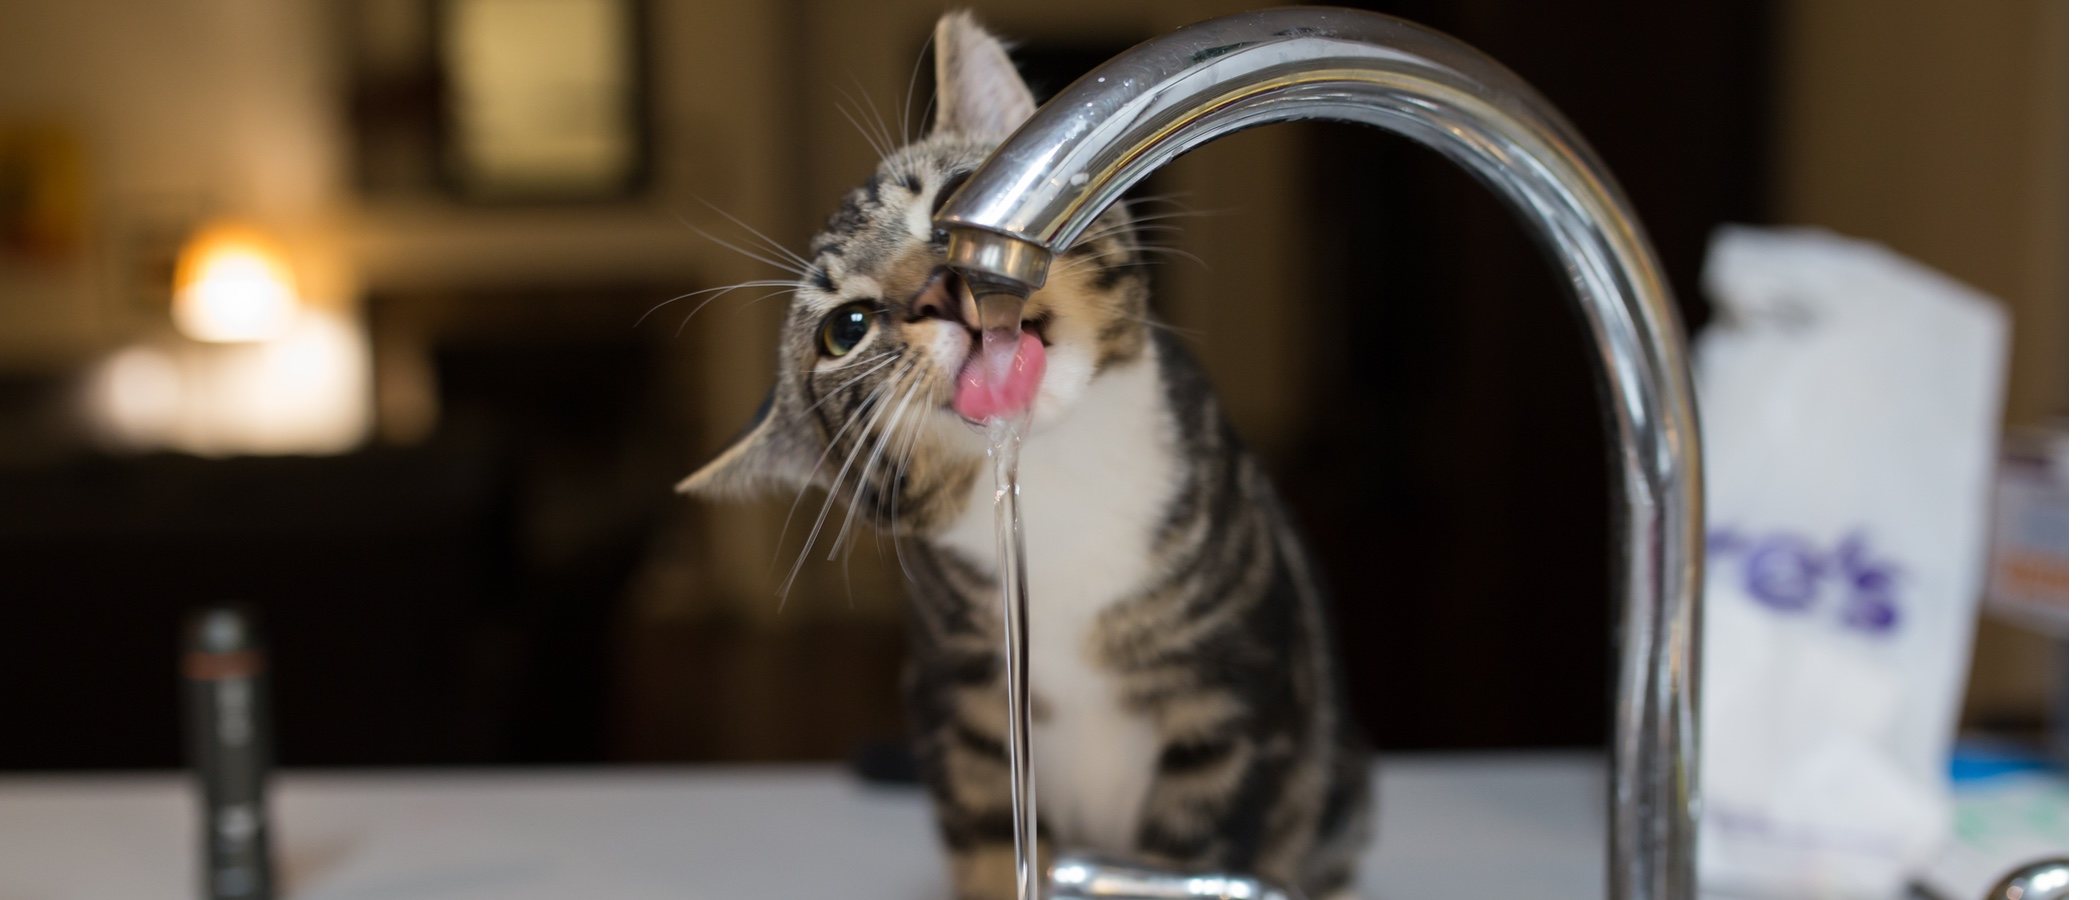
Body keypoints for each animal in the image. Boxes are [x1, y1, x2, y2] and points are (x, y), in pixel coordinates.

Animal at [684, 14, 1377, 897]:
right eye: (847, 329)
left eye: (953, 203)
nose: (933, 292)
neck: (1055, 485)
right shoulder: (962, 699)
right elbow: (990, 834)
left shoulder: (1234, 691)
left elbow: (1193, 850)